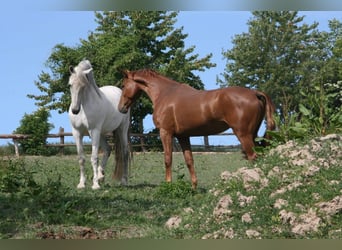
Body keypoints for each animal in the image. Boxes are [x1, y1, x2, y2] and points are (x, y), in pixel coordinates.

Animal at [68, 60, 130, 189]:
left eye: (83, 86)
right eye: (70, 85)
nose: (75, 110)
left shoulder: (94, 131)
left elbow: (94, 157)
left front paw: (95, 184)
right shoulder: (76, 133)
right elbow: (81, 158)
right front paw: (82, 183)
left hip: (121, 129)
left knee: (125, 152)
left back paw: (123, 180)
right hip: (101, 134)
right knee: (107, 149)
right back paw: (101, 176)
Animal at [119, 69, 276, 188]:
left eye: (123, 85)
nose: (121, 108)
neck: (165, 94)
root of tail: (254, 93)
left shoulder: (165, 133)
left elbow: (168, 159)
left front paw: (168, 184)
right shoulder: (183, 136)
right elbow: (189, 160)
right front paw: (193, 187)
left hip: (243, 135)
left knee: (253, 157)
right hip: (252, 134)